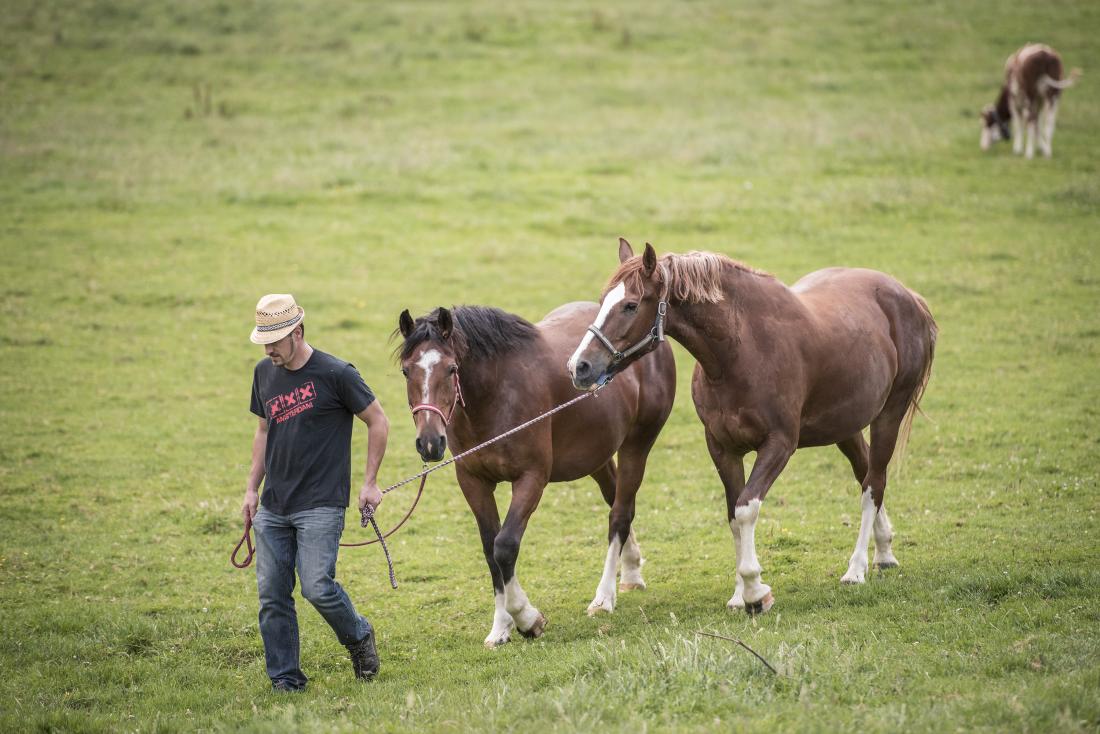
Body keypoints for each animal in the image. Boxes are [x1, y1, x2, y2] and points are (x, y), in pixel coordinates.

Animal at [391, 301, 673, 647]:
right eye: (406, 371)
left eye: (452, 369)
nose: (430, 442)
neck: (496, 395)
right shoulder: (473, 482)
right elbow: (490, 549)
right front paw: (500, 627)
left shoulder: (531, 478)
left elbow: (505, 546)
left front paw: (527, 619)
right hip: (597, 456)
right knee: (618, 501)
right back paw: (631, 571)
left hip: (637, 443)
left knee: (620, 513)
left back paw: (604, 597)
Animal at [567, 240, 937, 616]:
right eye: (602, 301)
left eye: (630, 304)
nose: (579, 366)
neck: (742, 351)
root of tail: (906, 295)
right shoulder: (722, 447)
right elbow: (734, 515)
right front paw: (739, 594)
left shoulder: (779, 445)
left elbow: (746, 509)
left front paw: (756, 591)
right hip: (846, 427)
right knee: (867, 473)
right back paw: (884, 552)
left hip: (889, 414)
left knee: (873, 484)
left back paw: (856, 569)